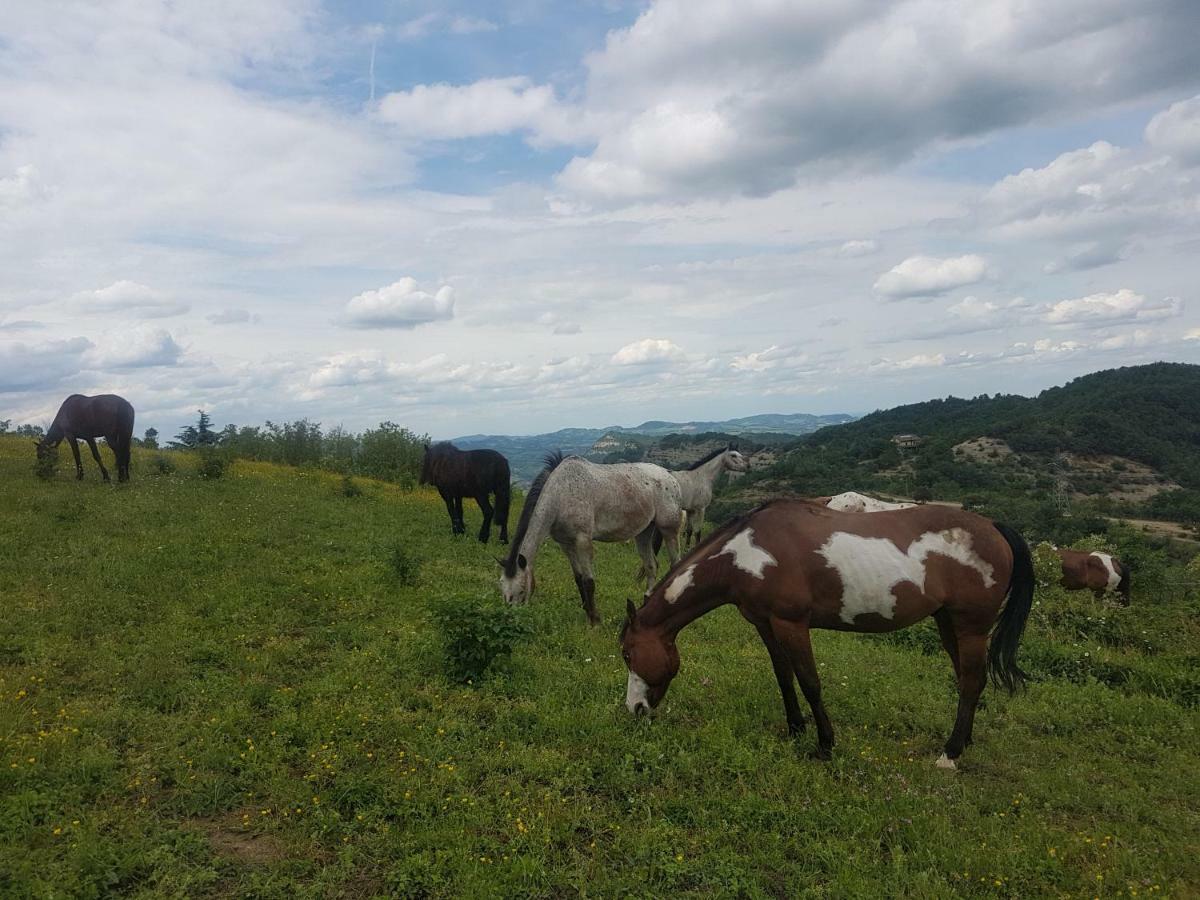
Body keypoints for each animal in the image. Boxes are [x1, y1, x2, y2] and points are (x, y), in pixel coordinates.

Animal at [499, 453, 686, 624]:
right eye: (502, 589)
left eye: (521, 590)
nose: (511, 618)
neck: (562, 493)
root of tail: (670, 475)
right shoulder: (566, 545)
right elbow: (578, 578)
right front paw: (587, 611)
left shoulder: (583, 541)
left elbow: (589, 581)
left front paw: (595, 620)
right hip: (644, 533)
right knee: (651, 566)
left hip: (669, 530)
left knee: (676, 564)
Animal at [619, 501, 1032, 768]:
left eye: (627, 653)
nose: (634, 709)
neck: (747, 553)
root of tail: (993, 527)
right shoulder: (765, 623)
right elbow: (783, 676)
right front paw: (795, 729)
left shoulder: (791, 624)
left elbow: (810, 682)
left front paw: (825, 744)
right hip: (949, 623)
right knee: (969, 679)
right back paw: (965, 740)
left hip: (971, 627)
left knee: (971, 680)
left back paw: (950, 753)